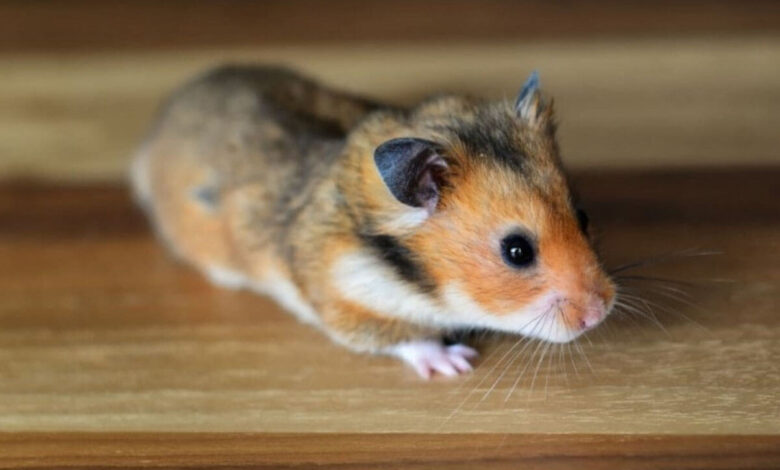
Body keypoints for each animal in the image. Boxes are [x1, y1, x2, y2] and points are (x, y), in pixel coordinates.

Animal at [130, 65, 615, 379]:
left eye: (583, 216)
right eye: (517, 251)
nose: (600, 314)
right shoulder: (347, 302)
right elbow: (407, 338)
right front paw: (457, 363)